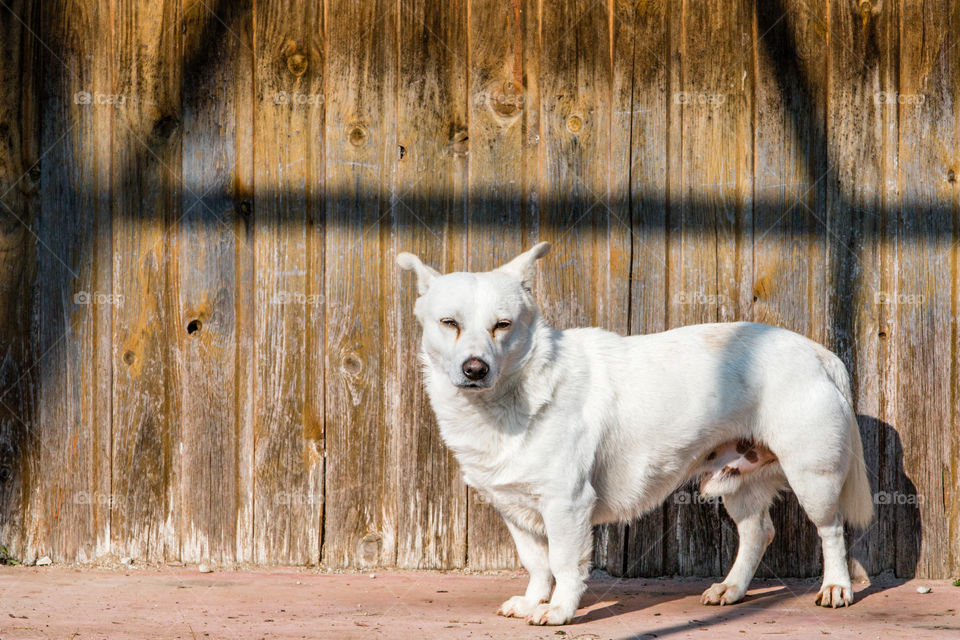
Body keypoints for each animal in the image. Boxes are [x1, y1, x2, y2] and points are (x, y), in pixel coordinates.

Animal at [394, 241, 872, 624]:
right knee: (758, 533)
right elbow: (537, 565)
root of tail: (819, 353)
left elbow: (564, 563)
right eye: (449, 323)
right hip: (739, 484)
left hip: (814, 479)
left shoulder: (567, 504)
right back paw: (731, 590)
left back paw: (836, 588)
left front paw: (559, 610)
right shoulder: (515, 509)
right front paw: (533, 601)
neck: (509, 399)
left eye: (503, 325)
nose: (475, 368)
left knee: (832, 532)